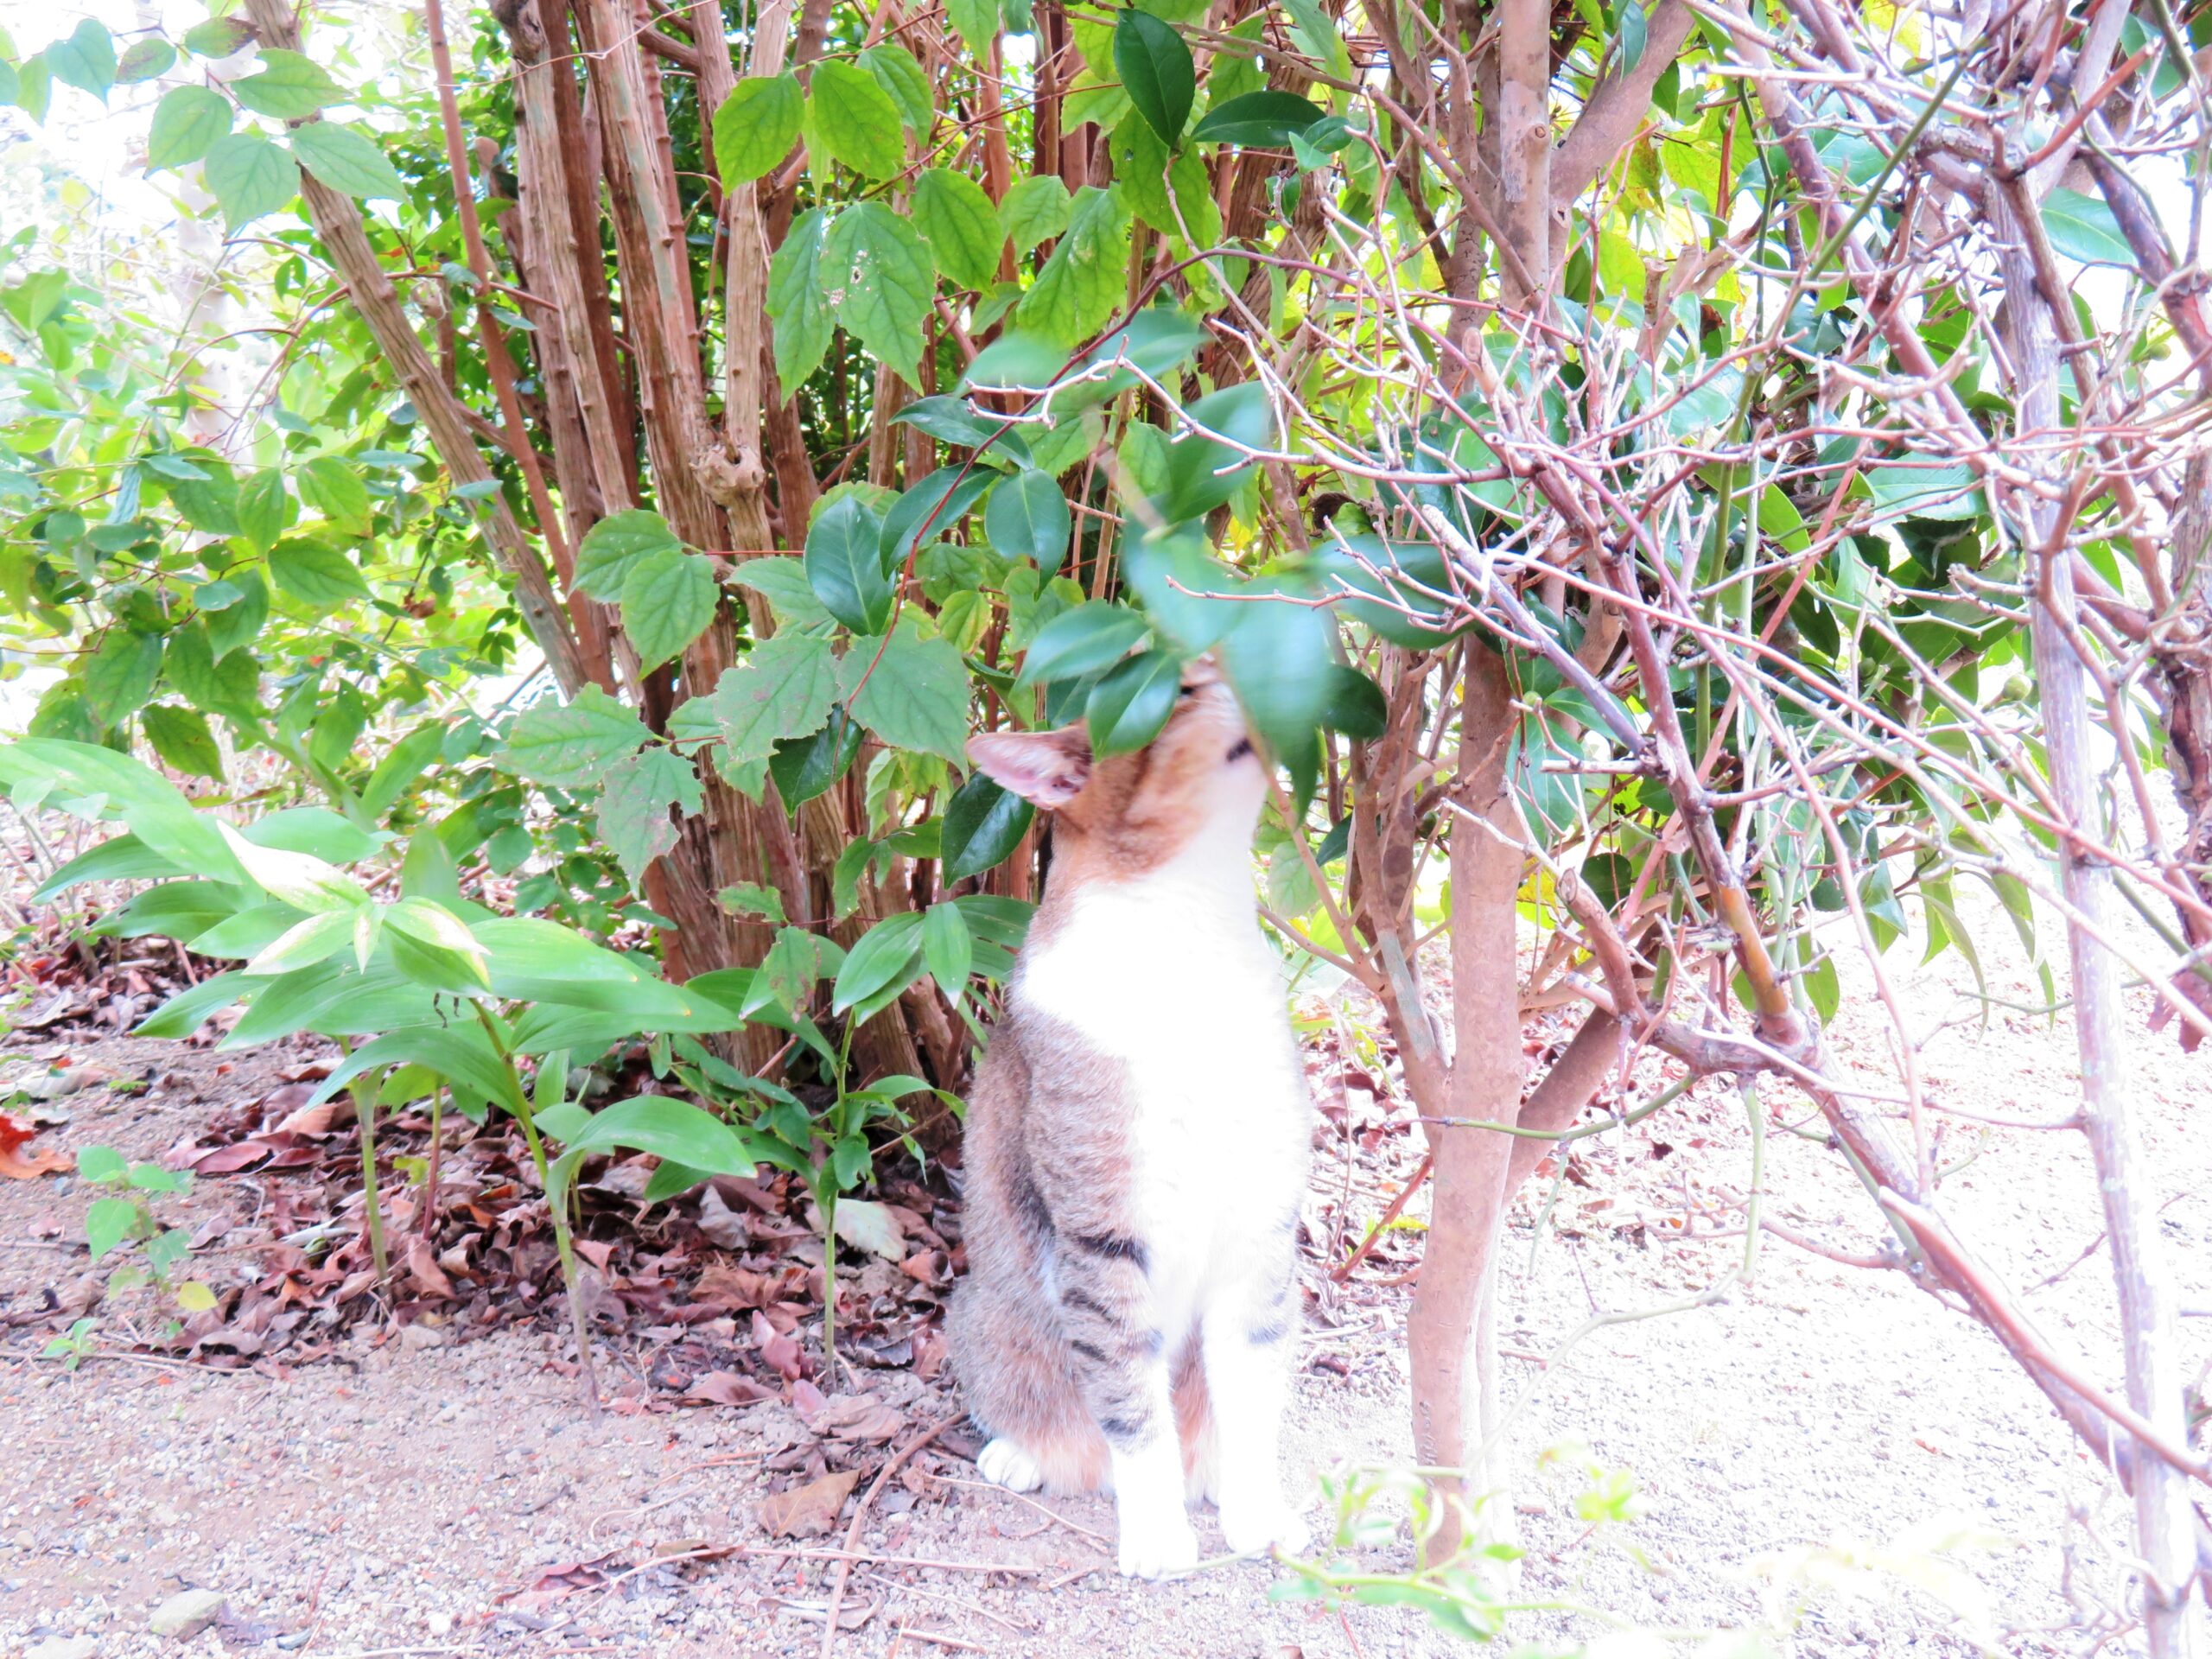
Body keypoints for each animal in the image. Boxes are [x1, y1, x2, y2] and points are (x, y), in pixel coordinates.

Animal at [946, 654, 1309, 1574]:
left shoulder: (1261, 1220)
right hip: (983, 1311)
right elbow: (1129, 1402)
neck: (1192, 923)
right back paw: (1026, 1454)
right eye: (1176, 689)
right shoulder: (1102, 1230)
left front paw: (1256, 1511)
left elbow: (1248, 1390)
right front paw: (1155, 1536)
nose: (1255, 660)